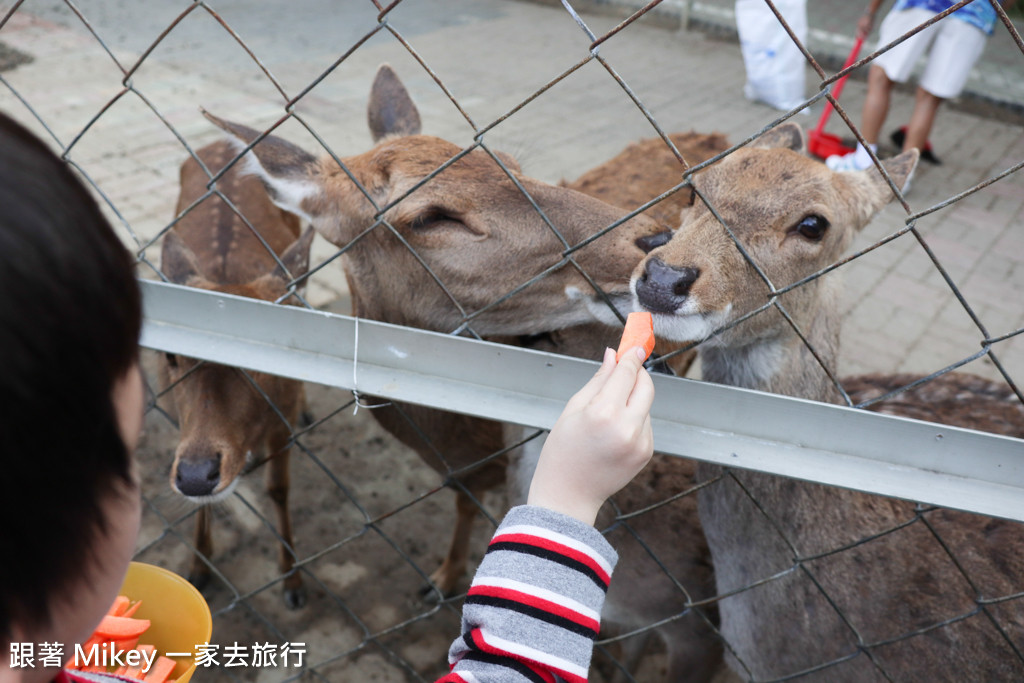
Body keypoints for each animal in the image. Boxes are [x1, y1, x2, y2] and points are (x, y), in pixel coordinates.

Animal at [156, 139, 311, 610]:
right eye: (171, 355)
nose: (195, 475)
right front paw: (197, 567)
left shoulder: (283, 414)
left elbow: (280, 488)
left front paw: (293, 581)